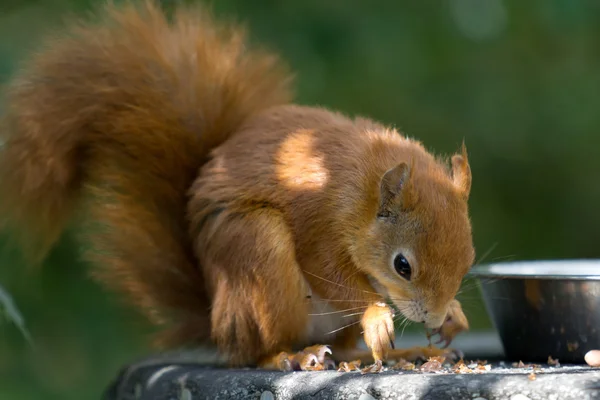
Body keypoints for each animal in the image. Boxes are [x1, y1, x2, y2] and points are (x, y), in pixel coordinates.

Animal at [0, 0, 474, 372]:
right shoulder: (317, 220)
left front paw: (454, 314)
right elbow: (332, 274)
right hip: (255, 256)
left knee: (342, 351)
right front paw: (378, 316)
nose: (433, 319)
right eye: (402, 266)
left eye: (468, 259)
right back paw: (290, 356)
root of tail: (218, 323)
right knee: (257, 353)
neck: (358, 189)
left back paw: (396, 354)